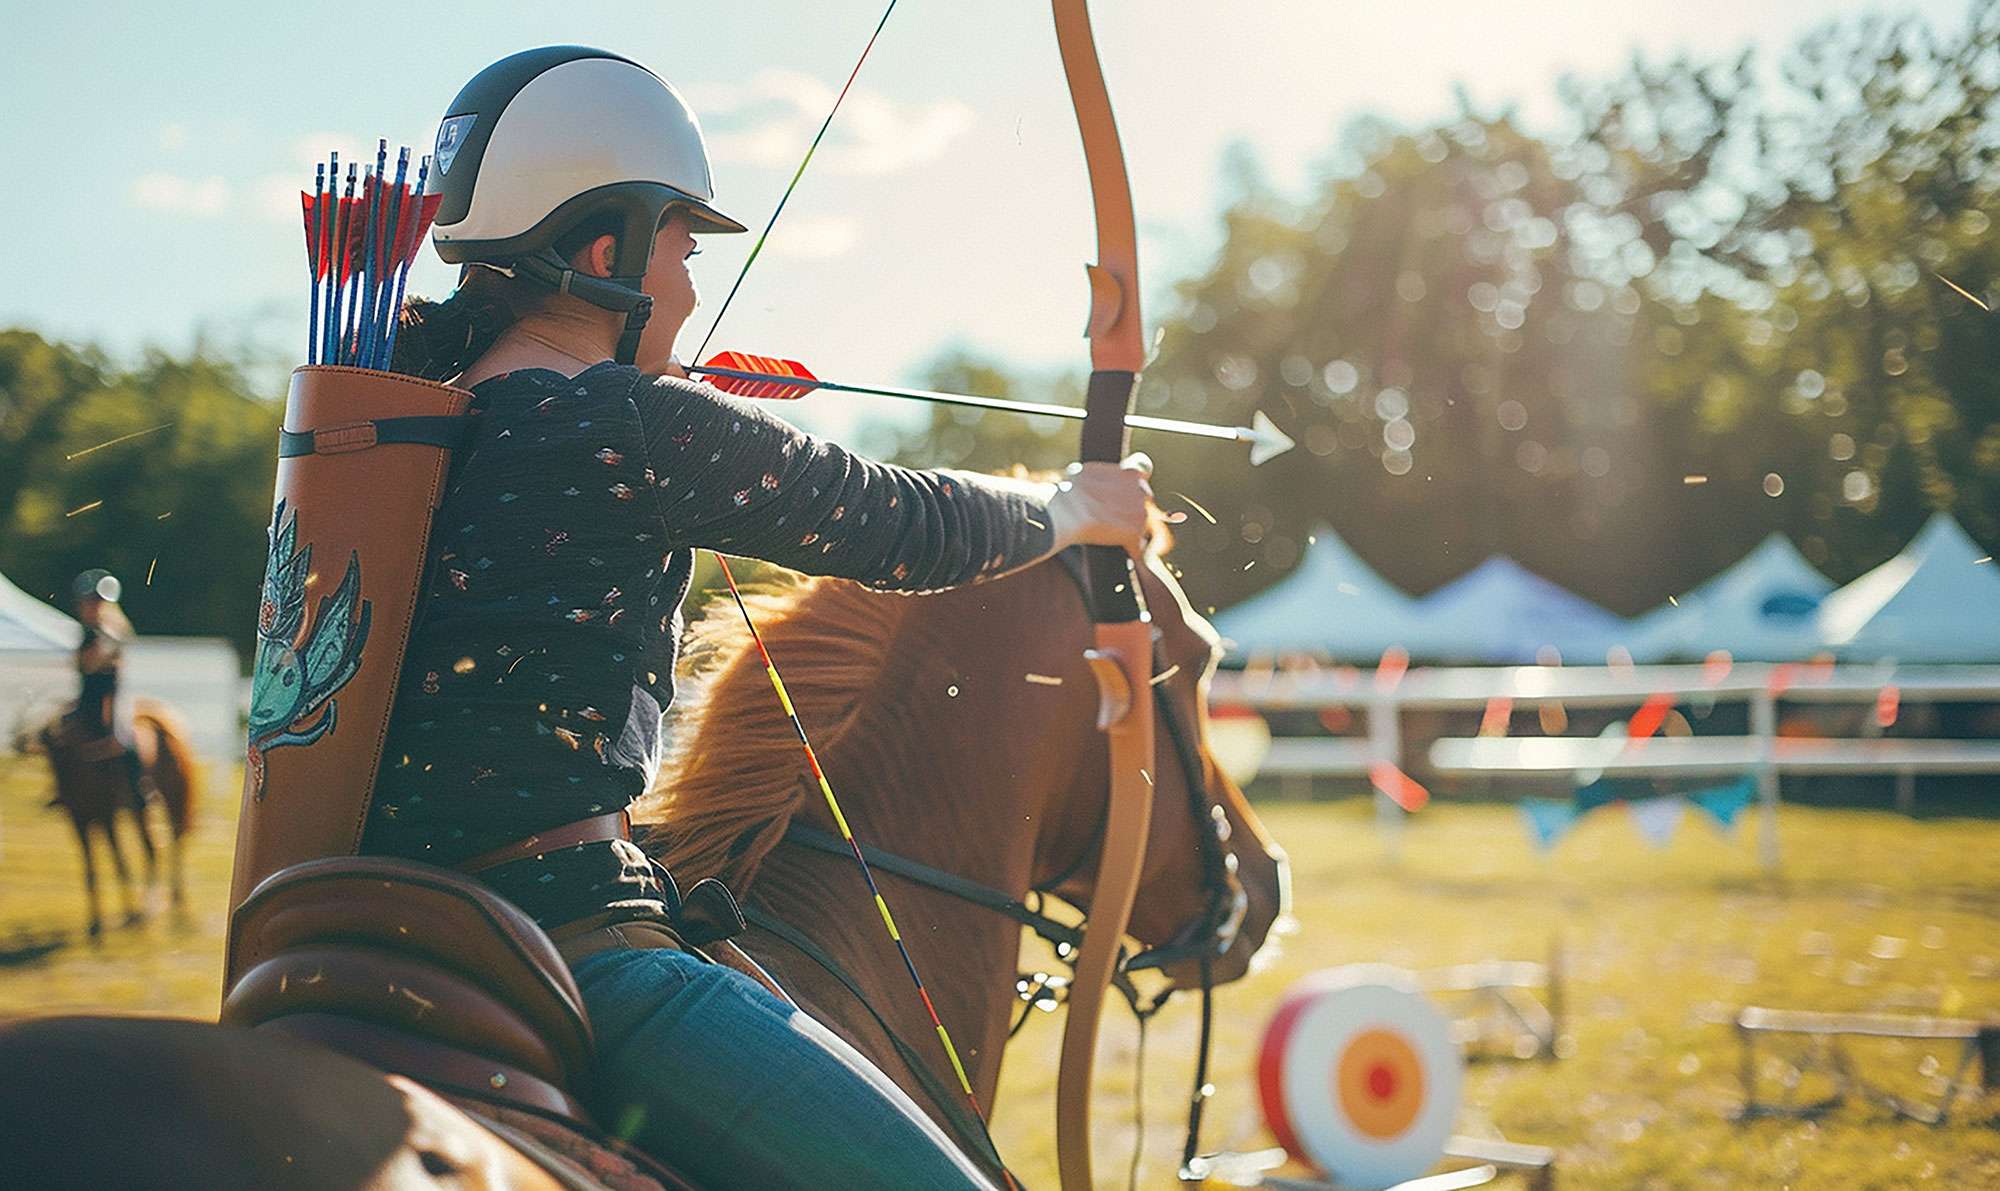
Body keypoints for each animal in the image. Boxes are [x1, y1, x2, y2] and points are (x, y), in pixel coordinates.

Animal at [17, 691, 199, 935]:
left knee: (171, 842)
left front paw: (128, 915)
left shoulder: (106, 816)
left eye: (63, 751)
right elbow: (91, 870)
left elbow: (119, 863)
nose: (62, 792)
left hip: (171, 799)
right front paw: (95, 923)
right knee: (153, 847)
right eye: (49, 757)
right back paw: (157, 904)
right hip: (139, 811)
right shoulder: (79, 820)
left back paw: (162, 904)